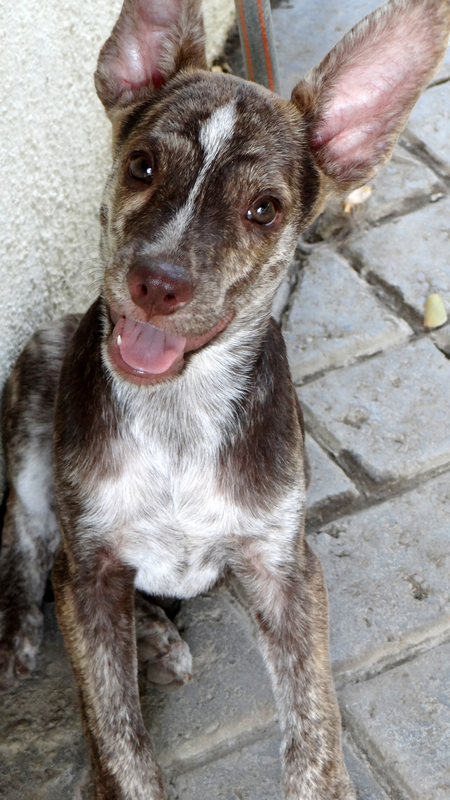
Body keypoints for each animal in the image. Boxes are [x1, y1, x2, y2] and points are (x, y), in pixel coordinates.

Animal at [1, 0, 449, 797]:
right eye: (142, 165)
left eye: (264, 209)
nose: (157, 282)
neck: (180, 415)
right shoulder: (87, 570)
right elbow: (117, 742)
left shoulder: (286, 569)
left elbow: (315, 726)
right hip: (37, 382)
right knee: (23, 534)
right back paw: (21, 638)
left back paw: (152, 634)